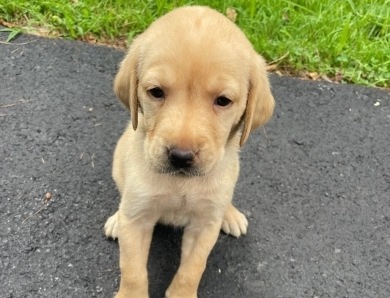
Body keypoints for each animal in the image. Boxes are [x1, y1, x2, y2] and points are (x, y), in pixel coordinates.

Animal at [103, 4, 274, 298]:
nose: (180, 156)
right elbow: (132, 270)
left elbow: (193, 268)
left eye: (223, 101)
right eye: (156, 92)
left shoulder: (204, 226)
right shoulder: (138, 219)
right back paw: (116, 219)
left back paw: (230, 214)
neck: (181, 183)